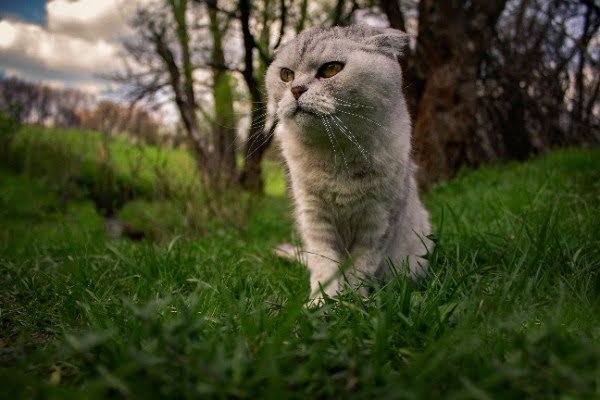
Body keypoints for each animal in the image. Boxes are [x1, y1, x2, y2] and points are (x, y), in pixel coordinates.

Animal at [266, 25, 432, 304]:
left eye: (331, 69)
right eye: (286, 75)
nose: (296, 90)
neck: (337, 153)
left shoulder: (379, 221)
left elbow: (360, 267)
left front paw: (353, 302)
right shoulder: (314, 218)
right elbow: (324, 266)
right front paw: (322, 302)